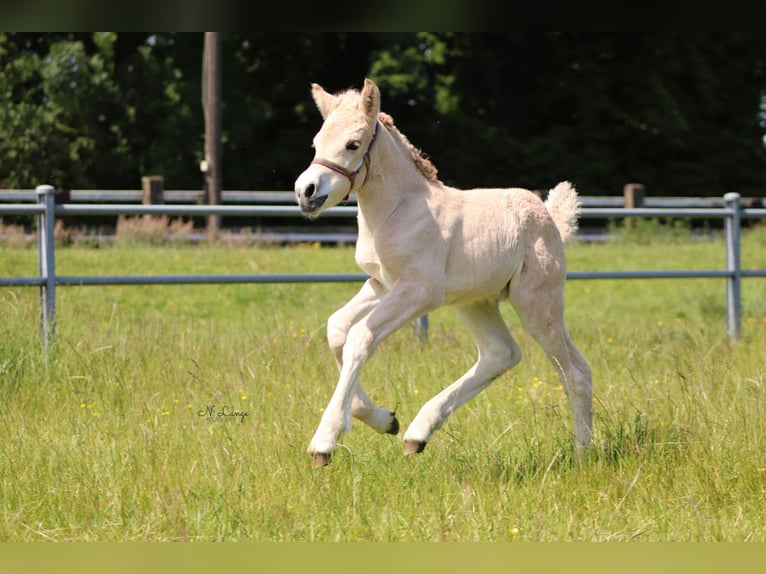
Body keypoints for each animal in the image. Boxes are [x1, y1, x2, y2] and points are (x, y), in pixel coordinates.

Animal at [294, 80, 592, 468]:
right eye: (316, 143)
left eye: (353, 144)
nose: (306, 192)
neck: (397, 210)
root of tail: (551, 219)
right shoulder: (381, 283)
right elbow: (336, 328)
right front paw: (383, 419)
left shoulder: (420, 290)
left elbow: (360, 336)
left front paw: (325, 441)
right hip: (475, 302)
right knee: (501, 353)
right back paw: (416, 434)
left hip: (538, 305)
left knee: (576, 373)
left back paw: (583, 456)